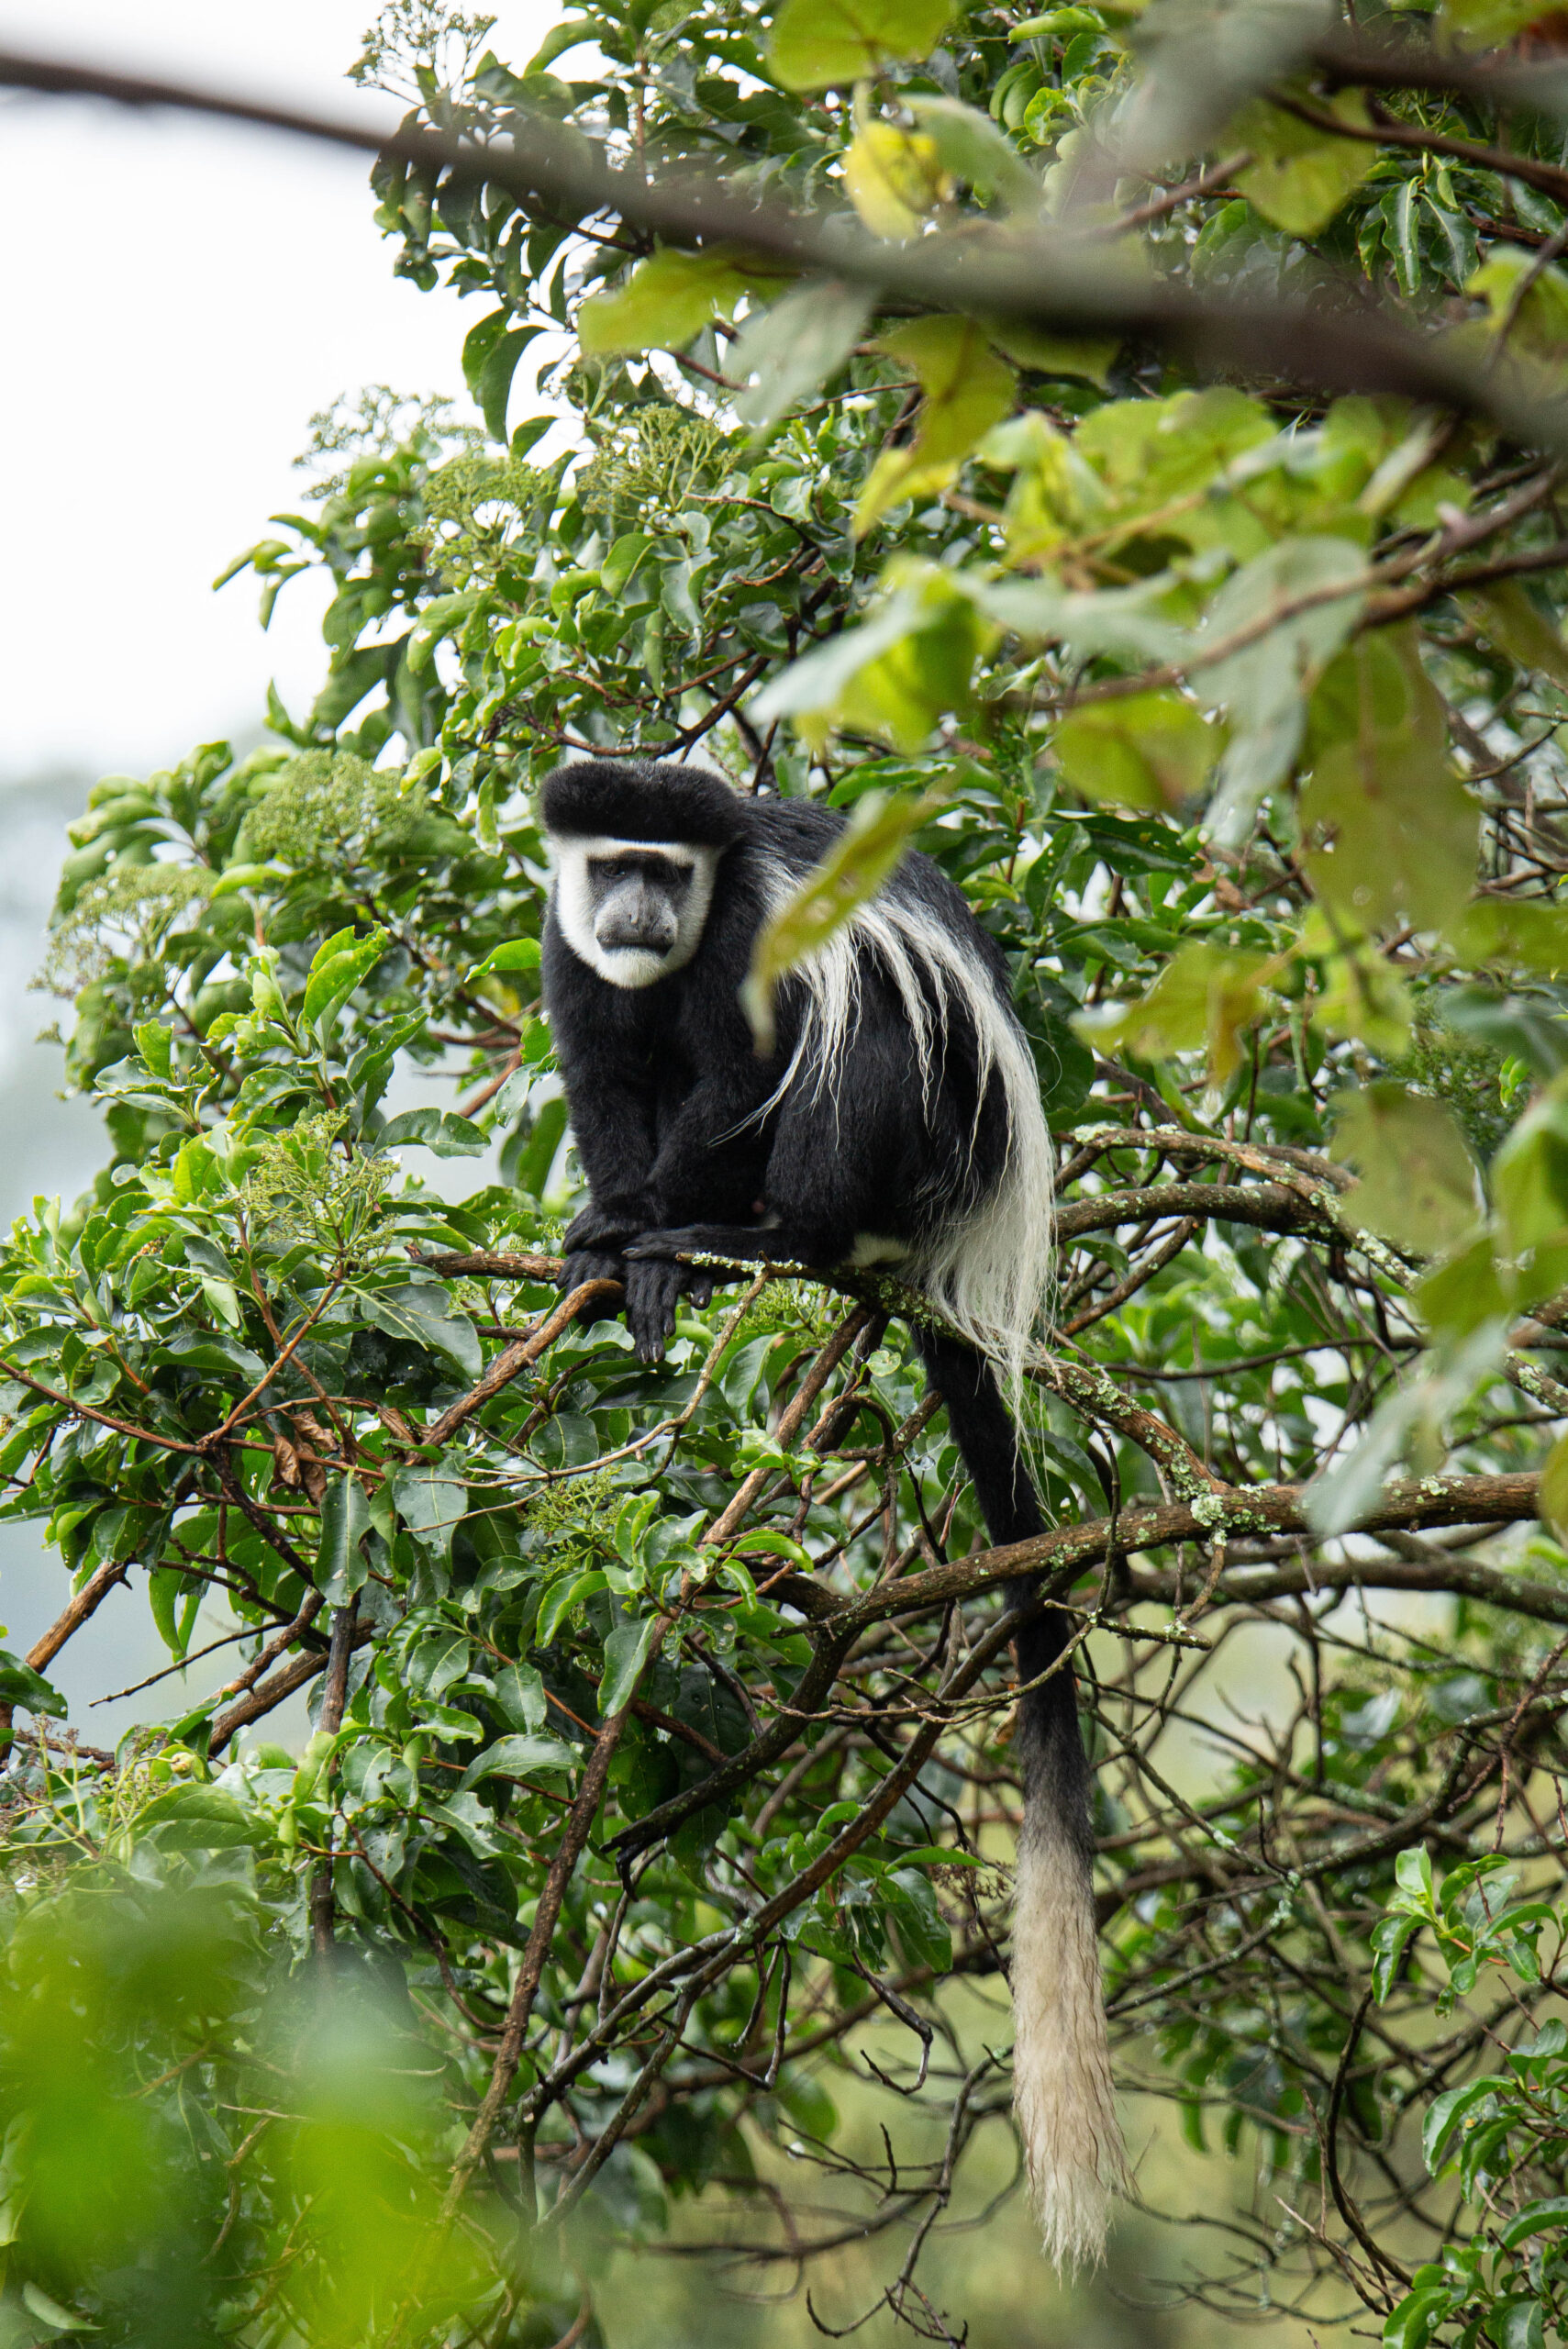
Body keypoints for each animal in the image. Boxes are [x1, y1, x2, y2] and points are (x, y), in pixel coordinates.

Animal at [541, 751, 1127, 2254]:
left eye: (669, 872)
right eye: (610, 864)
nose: (635, 912)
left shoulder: (749, 929)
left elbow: (750, 1067)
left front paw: (648, 1227)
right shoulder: (572, 955)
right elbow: (608, 1071)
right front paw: (608, 1229)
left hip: (933, 1131)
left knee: (850, 1040)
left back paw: (749, 1235)